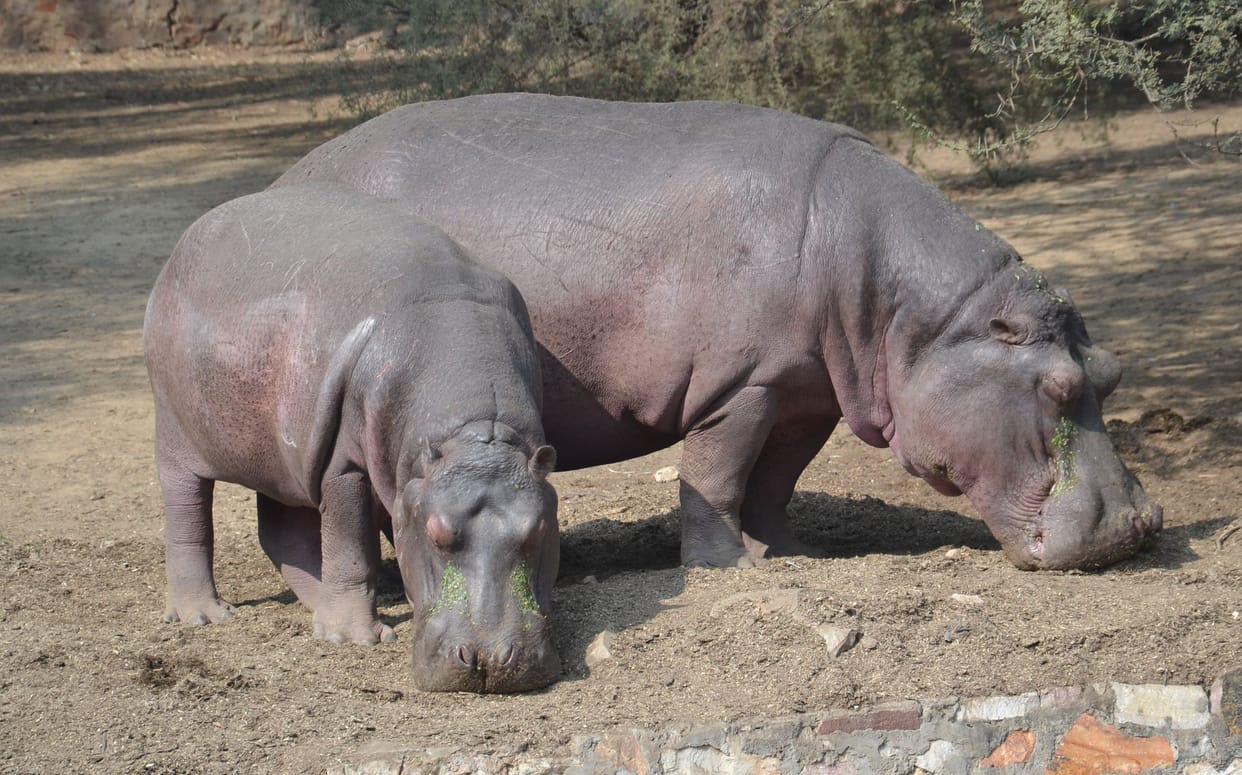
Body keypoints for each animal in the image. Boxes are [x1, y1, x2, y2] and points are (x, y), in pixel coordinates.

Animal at [143, 183, 560, 692]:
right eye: (434, 532)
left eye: (539, 528)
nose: (489, 660)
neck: (475, 435)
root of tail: (191, 236)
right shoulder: (343, 464)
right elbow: (349, 544)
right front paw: (357, 640)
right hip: (174, 433)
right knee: (188, 515)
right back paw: (205, 616)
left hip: (286, 456)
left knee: (281, 530)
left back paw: (317, 610)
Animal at [273, 93, 1161, 570]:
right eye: (1056, 387)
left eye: (1112, 369)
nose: (1137, 526)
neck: (921, 318)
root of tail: (285, 177)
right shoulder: (742, 386)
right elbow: (720, 476)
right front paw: (723, 566)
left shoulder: (806, 394)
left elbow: (777, 483)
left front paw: (785, 559)